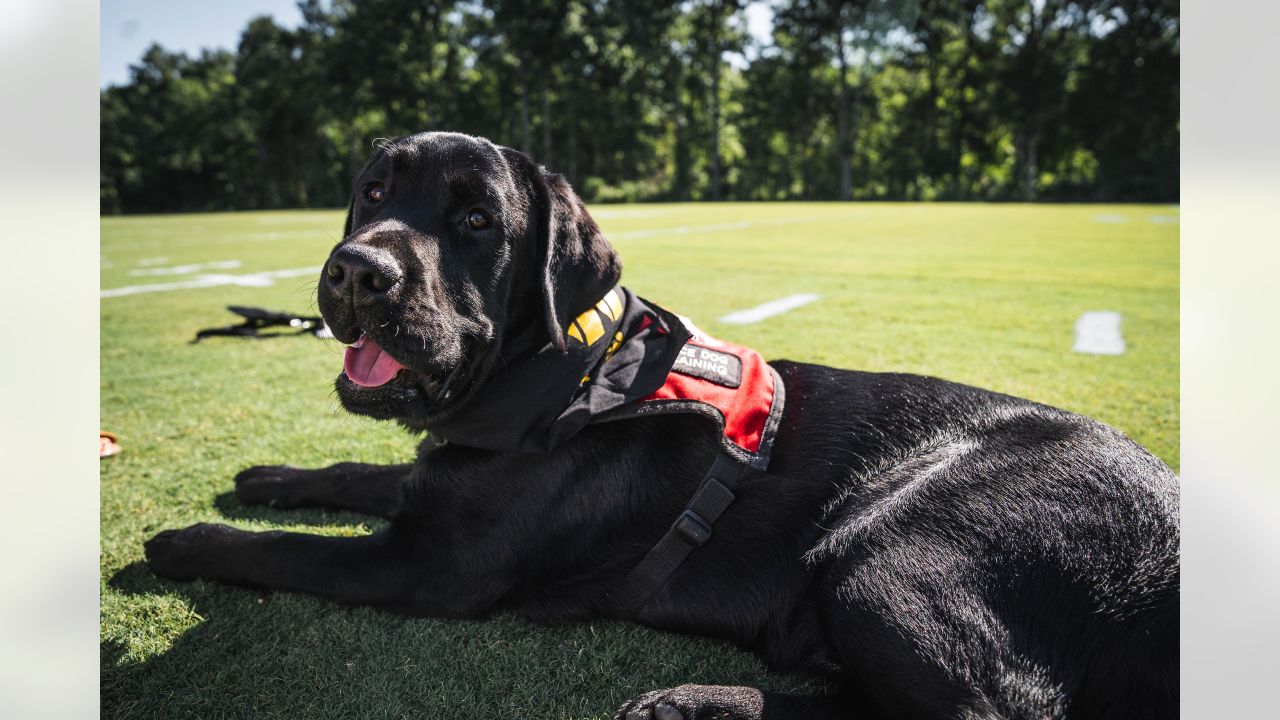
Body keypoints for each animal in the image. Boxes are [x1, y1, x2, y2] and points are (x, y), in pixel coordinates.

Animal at [147, 131, 1177, 712]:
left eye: (477, 220)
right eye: (371, 192)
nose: (359, 270)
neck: (553, 369)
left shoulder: (429, 564)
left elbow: (286, 552)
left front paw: (183, 539)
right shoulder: (445, 472)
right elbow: (358, 476)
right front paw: (268, 478)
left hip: (893, 545)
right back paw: (697, 701)